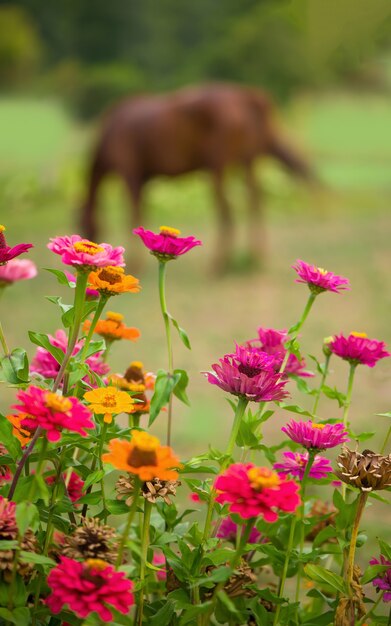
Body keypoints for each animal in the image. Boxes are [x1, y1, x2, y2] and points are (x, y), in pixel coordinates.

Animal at [81, 83, 316, 268]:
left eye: (82, 224)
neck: (111, 131)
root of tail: (243, 96)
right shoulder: (144, 181)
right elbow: (141, 213)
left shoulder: (130, 174)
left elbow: (133, 214)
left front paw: (136, 264)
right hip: (247, 164)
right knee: (255, 203)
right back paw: (255, 256)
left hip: (218, 168)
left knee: (227, 211)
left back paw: (219, 265)